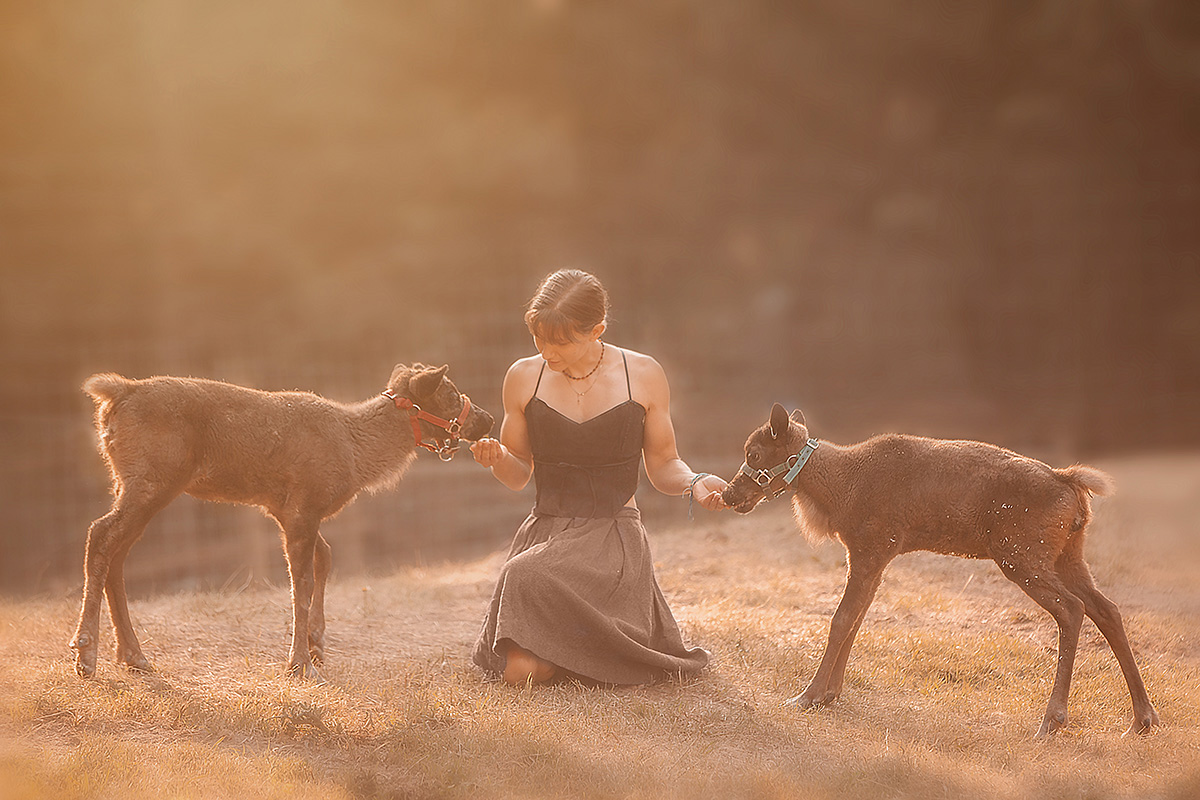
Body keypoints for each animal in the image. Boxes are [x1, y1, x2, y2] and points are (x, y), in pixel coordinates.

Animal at [71, 364, 492, 681]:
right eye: (450, 393)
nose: (486, 419)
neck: (357, 456)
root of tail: (115, 392)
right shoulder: (302, 507)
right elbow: (300, 583)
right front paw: (300, 663)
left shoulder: (286, 510)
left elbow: (325, 558)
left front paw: (316, 642)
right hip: (152, 479)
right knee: (100, 534)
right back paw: (86, 652)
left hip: (132, 483)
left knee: (117, 551)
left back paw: (132, 655)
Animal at [720, 402, 1161, 743]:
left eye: (754, 453)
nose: (729, 493)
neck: (839, 490)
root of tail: (1072, 484)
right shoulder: (876, 557)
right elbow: (857, 619)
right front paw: (831, 694)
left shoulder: (869, 548)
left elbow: (841, 619)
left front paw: (808, 696)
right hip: (1067, 556)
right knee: (1107, 608)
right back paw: (1142, 719)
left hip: (1020, 555)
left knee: (1071, 609)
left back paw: (1051, 722)